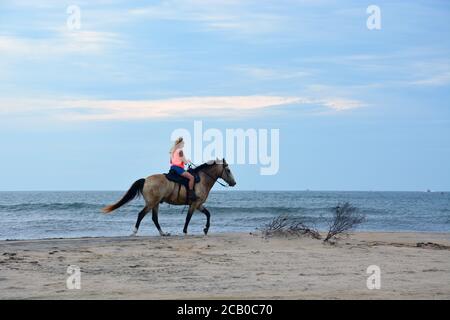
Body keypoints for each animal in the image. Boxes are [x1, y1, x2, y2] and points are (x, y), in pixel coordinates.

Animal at [101, 159, 236, 236]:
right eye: (228, 170)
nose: (234, 183)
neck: (202, 179)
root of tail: (145, 180)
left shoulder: (199, 204)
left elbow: (208, 214)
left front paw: (206, 229)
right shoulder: (195, 204)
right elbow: (188, 218)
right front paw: (185, 231)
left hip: (155, 204)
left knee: (154, 218)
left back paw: (163, 233)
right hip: (151, 203)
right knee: (141, 214)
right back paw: (134, 232)